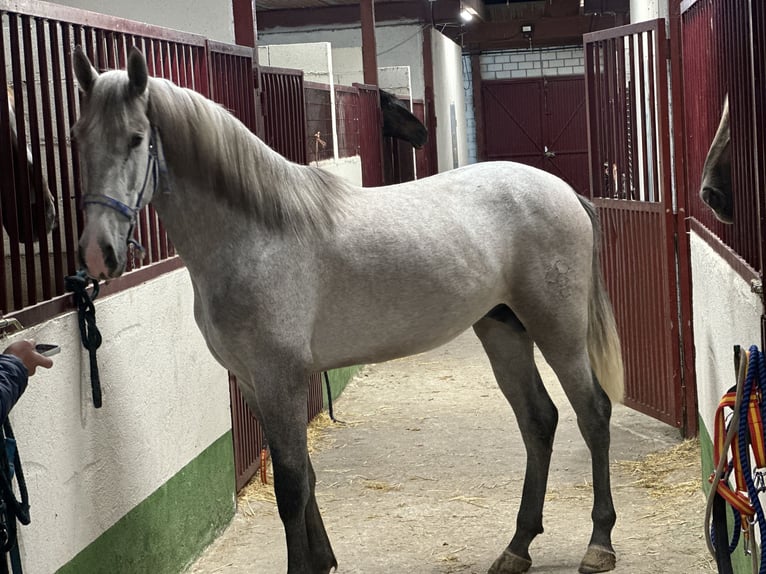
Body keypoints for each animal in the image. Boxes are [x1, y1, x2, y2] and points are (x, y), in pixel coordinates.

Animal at [72, 46, 624, 574]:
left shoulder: (280, 379)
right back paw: (517, 547)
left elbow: (291, 487)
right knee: (539, 420)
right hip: (503, 329)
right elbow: (305, 475)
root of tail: (563, 191)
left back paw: (599, 544)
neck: (257, 233)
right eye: (78, 138)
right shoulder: (254, 382)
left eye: (136, 139)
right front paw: (322, 561)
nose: (98, 254)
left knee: (593, 412)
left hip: (558, 331)